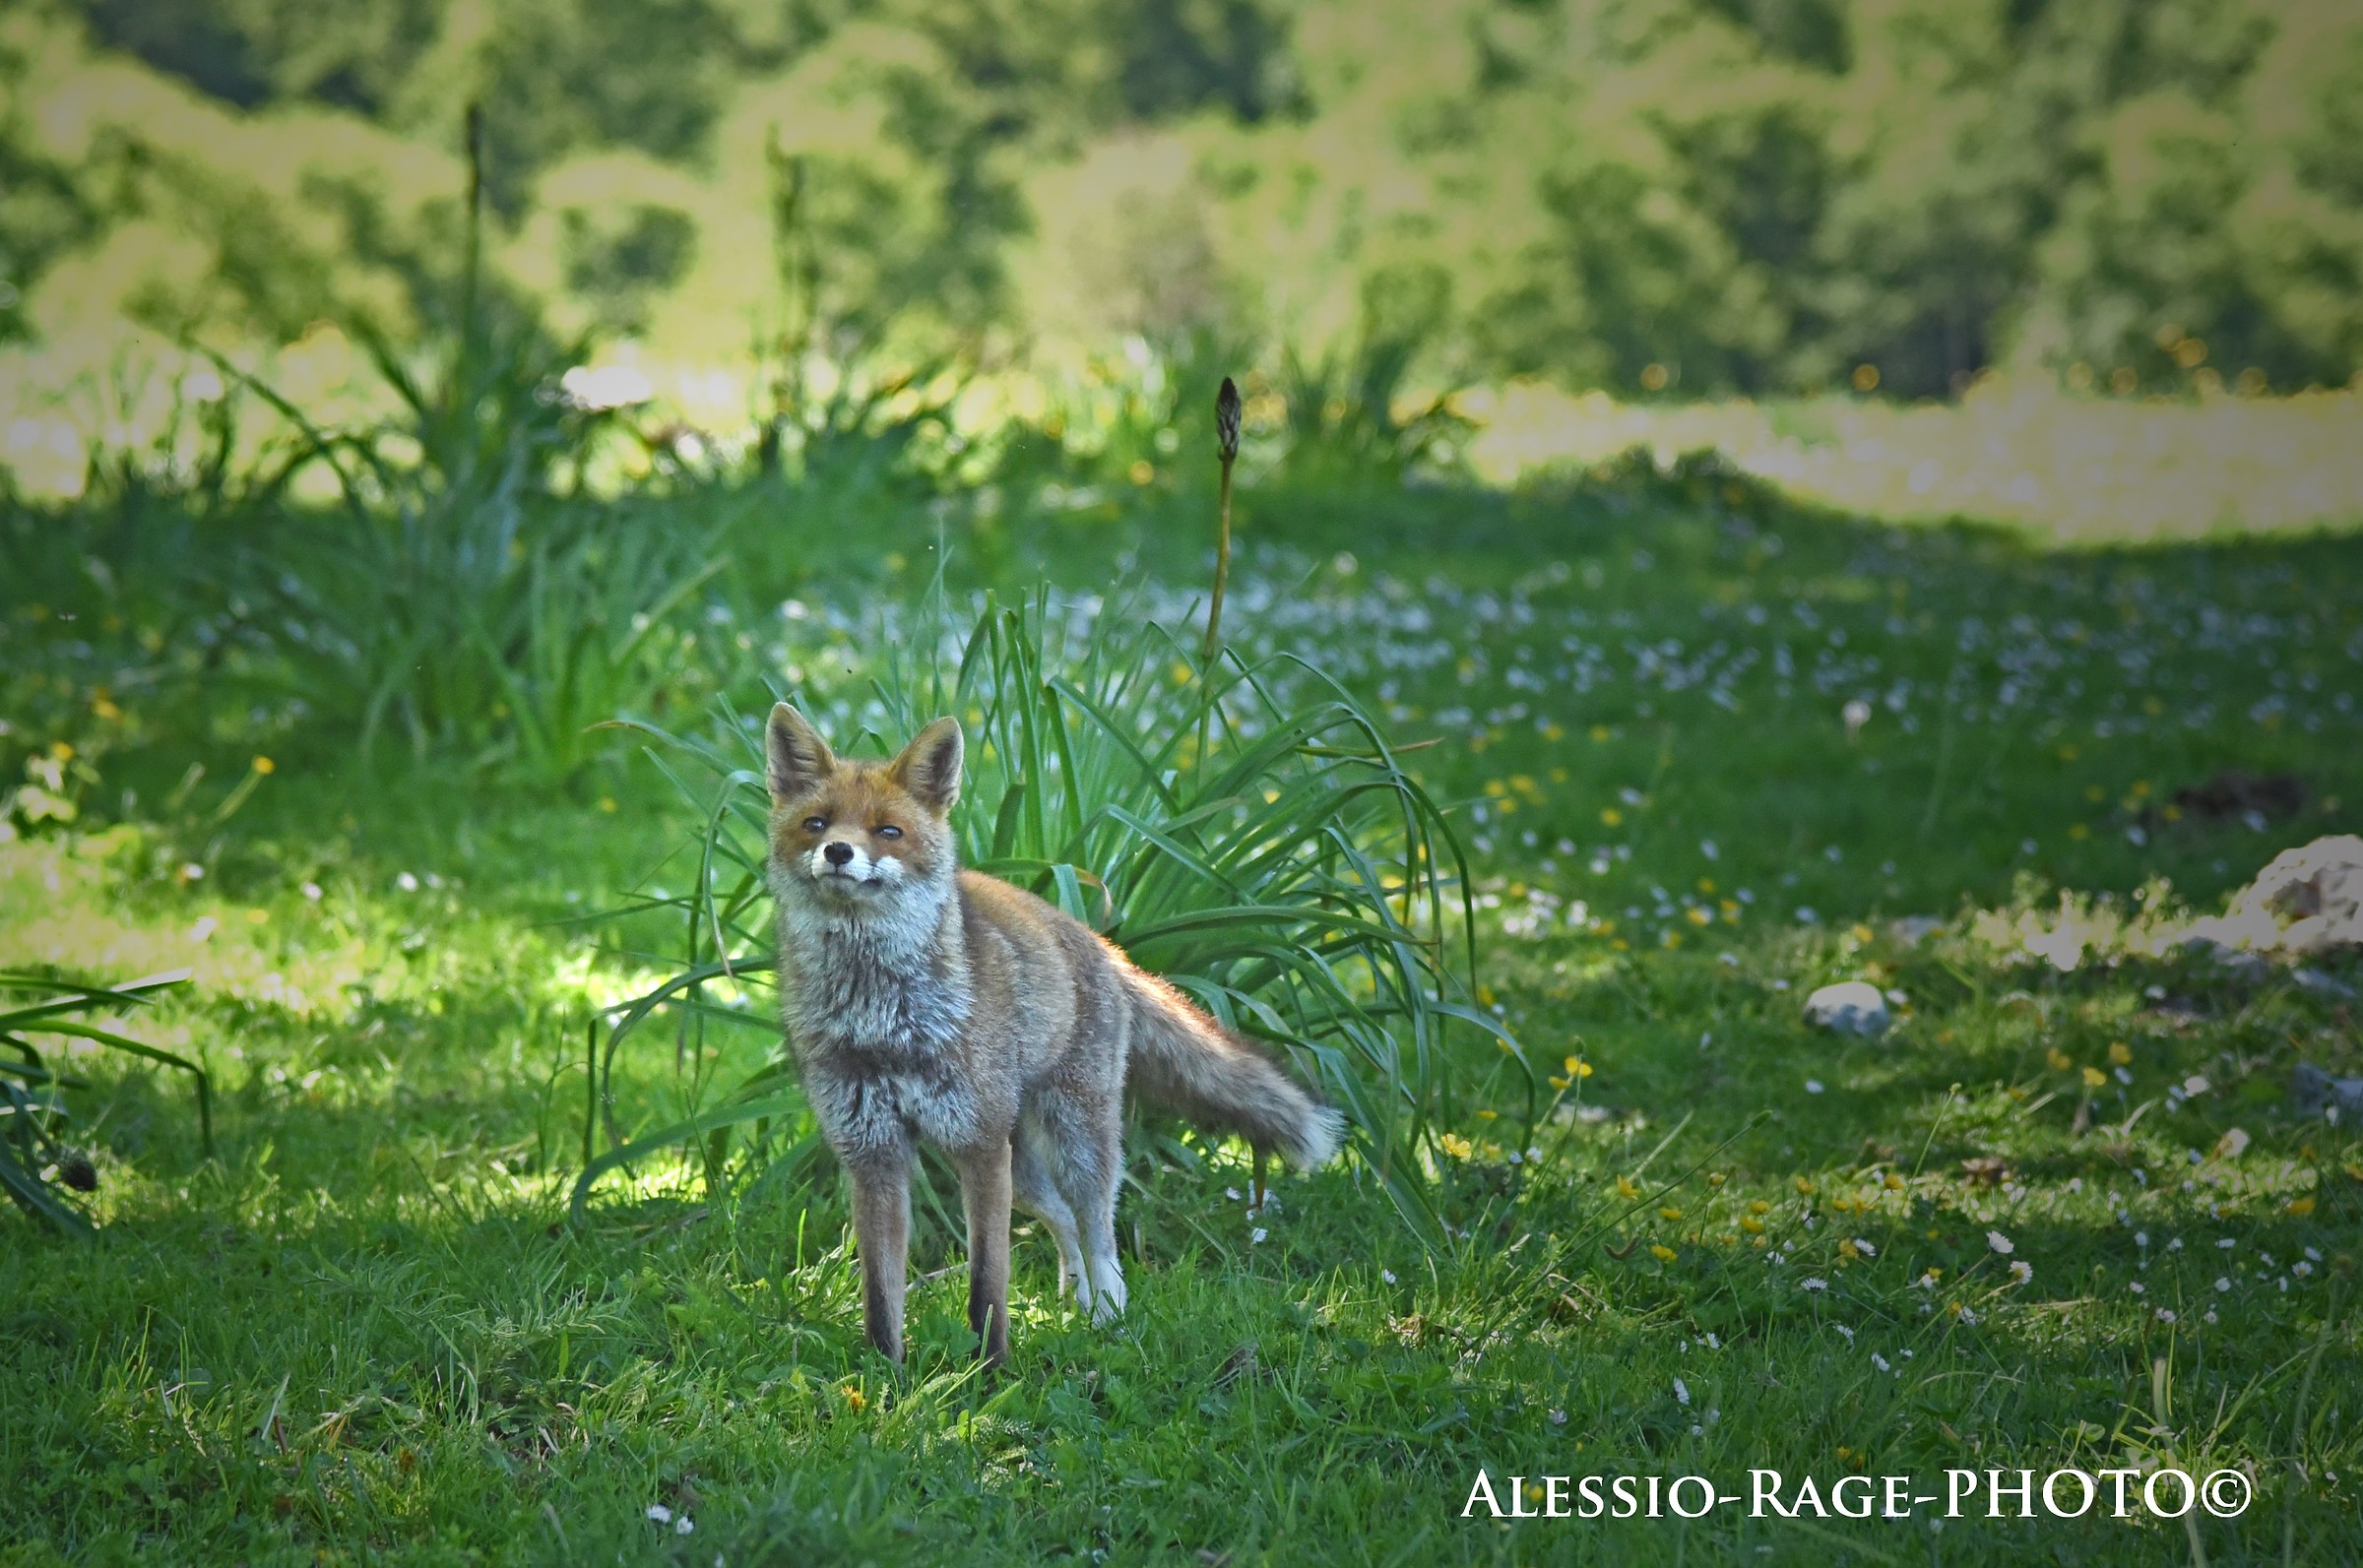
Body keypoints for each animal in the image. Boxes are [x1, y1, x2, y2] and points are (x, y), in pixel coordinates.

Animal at [762, 703, 1343, 1366]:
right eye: (815, 824)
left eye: (888, 831)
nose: (837, 851)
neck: (884, 1023)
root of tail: (1107, 947)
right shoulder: (872, 1152)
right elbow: (881, 1297)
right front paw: (887, 1377)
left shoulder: (979, 1147)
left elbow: (988, 1285)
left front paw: (990, 1373)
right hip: (1024, 1169)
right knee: (1064, 1222)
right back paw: (1077, 1303)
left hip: (1073, 1141)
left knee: (1100, 1233)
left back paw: (1110, 1320)